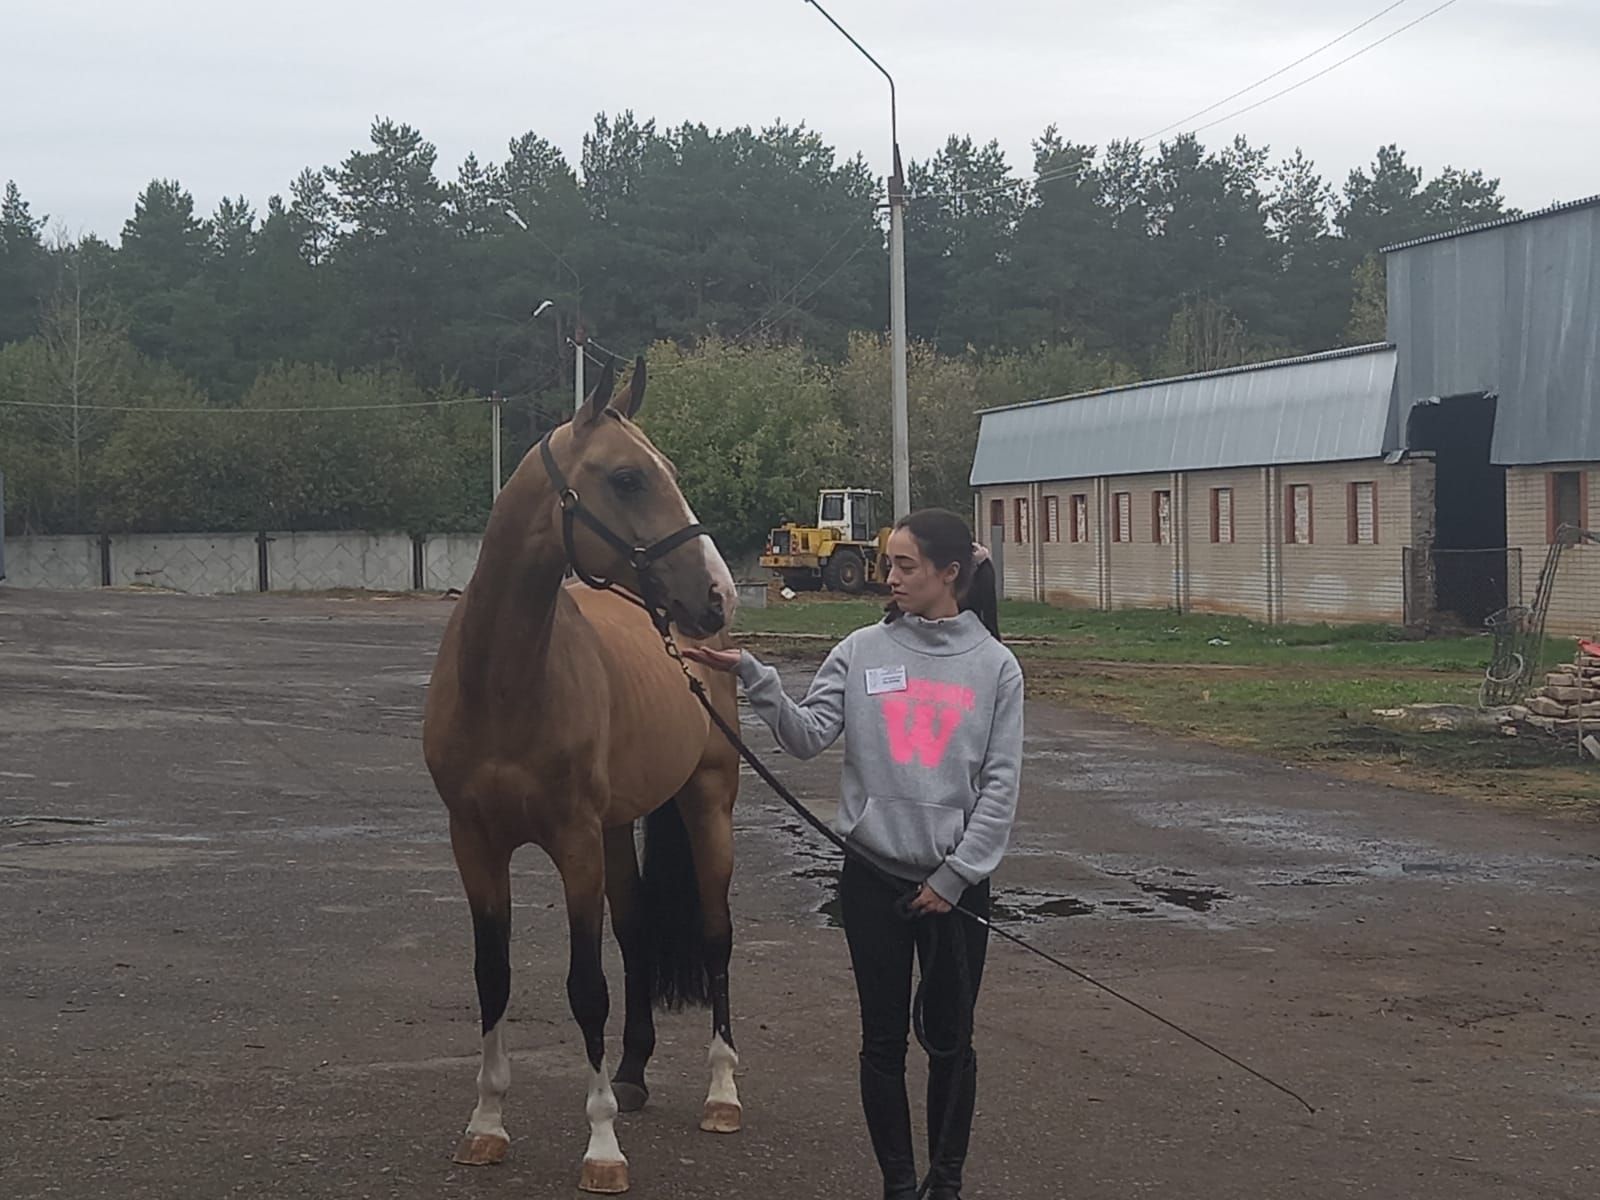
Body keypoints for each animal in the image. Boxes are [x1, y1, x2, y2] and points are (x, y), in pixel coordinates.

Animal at [419, 356, 742, 1196]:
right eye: (628, 478)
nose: (717, 593)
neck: (506, 684)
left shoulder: (572, 843)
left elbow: (584, 986)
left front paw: (600, 1146)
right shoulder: (475, 844)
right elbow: (492, 975)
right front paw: (487, 1125)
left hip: (708, 804)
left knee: (717, 936)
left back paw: (722, 1094)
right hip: (618, 827)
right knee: (636, 935)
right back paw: (630, 1076)